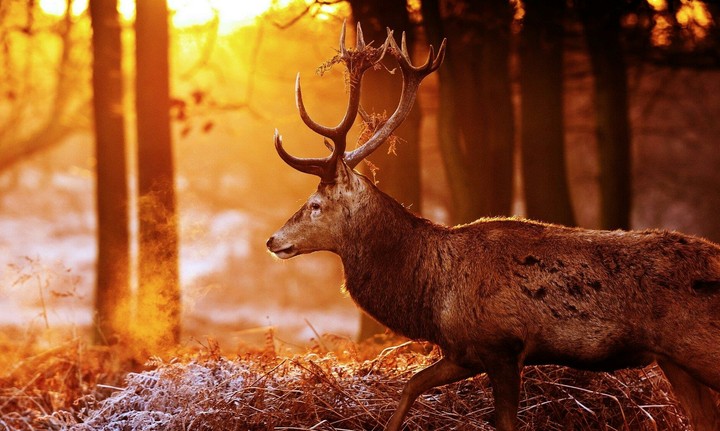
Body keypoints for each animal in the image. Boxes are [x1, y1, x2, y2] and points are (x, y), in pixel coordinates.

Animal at [266, 23, 720, 431]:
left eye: (315, 205)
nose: (272, 240)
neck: (433, 293)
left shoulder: (501, 344)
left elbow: (502, 421)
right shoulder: (463, 349)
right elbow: (411, 385)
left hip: (700, 346)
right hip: (674, 360)